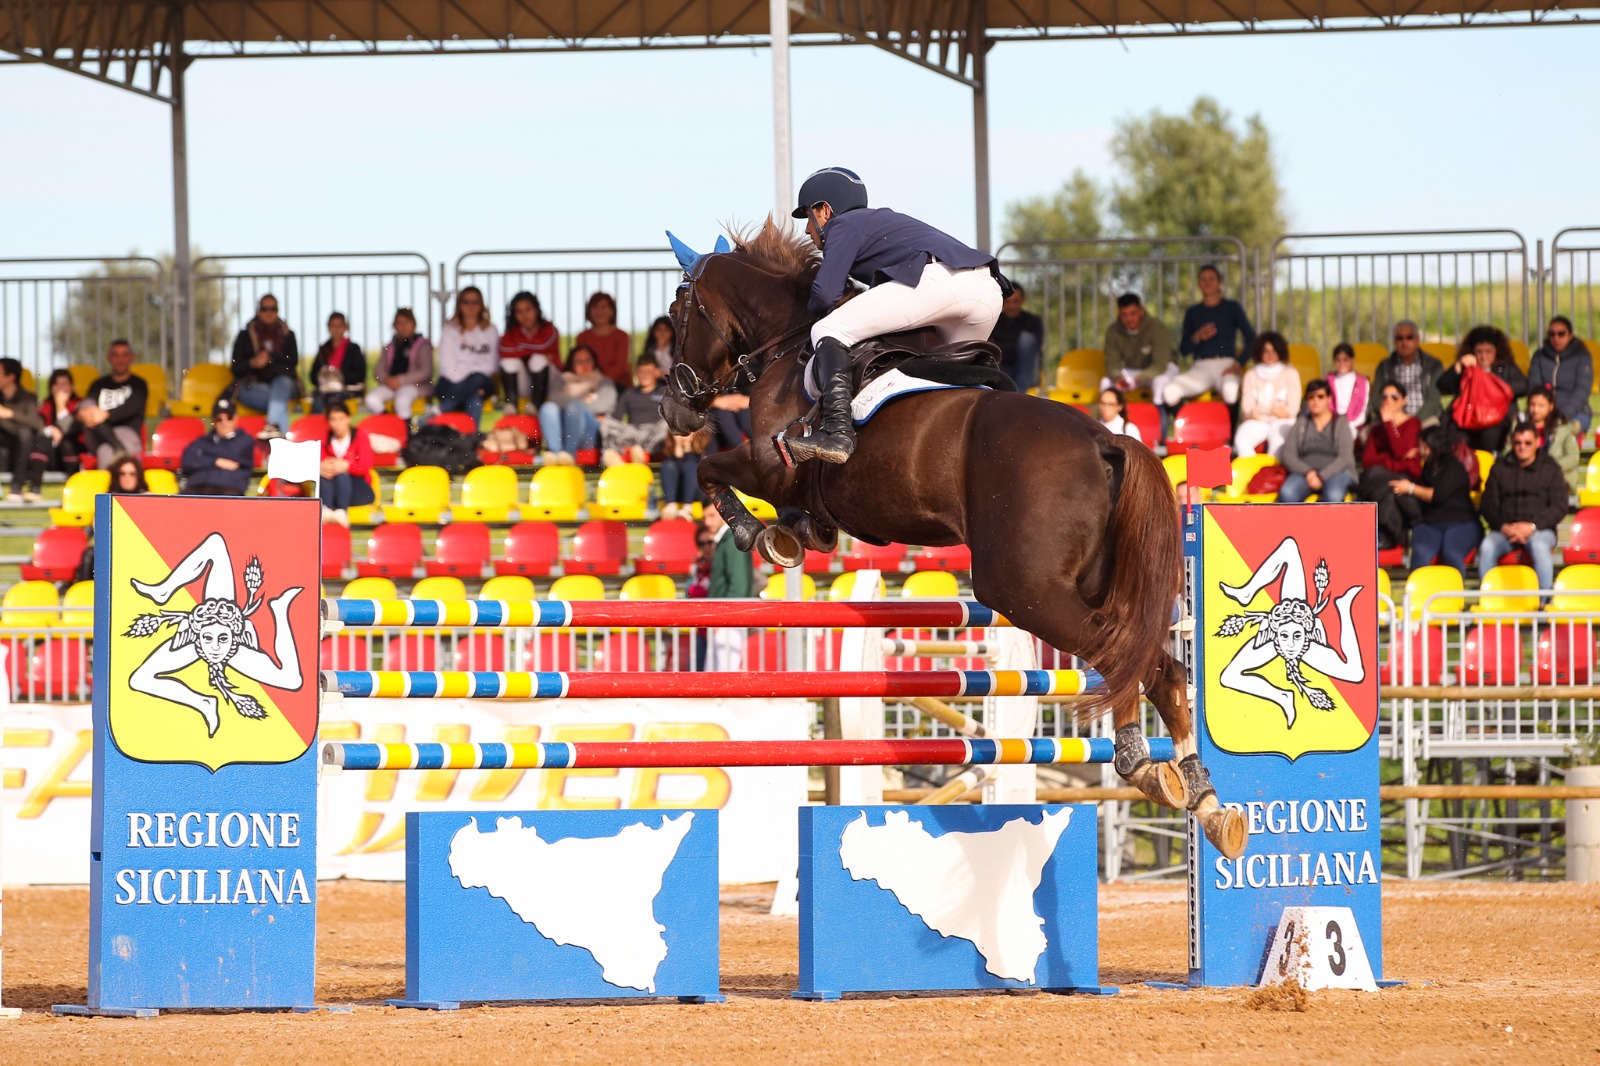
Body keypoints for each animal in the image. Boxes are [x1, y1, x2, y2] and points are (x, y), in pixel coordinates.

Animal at [659, 219, 1247, 860]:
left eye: (677, 313)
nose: (673, 409)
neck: (788, 346)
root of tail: (1107, 441)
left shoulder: (771, 463)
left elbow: (712, 470)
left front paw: (759, 534)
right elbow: (784, 505)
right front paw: (798, 532)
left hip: (1024, 589)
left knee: (1129, 658)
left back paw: (1153, 771)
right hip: (1088, 587)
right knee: (1148, 664)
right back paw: (1197, 796)